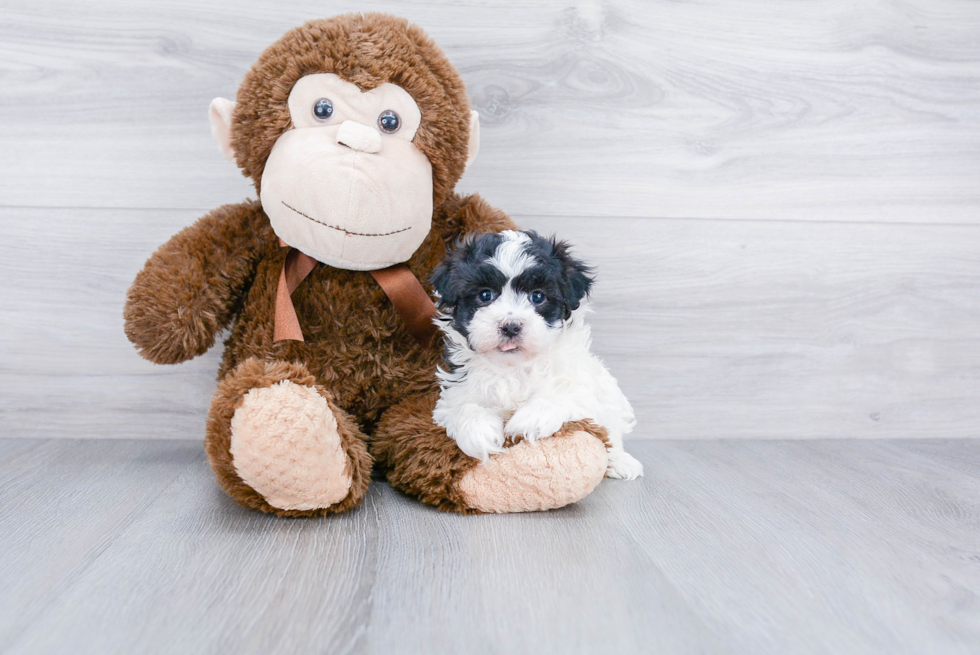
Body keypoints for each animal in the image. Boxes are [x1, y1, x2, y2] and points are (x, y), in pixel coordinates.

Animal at [428, 231, 644, 482]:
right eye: (485, 295)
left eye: (537, 297)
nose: (510, 326)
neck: (514, 366)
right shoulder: (456, 391)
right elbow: (464, 407)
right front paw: (479, 432)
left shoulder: (580, 384)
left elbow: (564, 394)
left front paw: (530, 419)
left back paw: (621, 462)